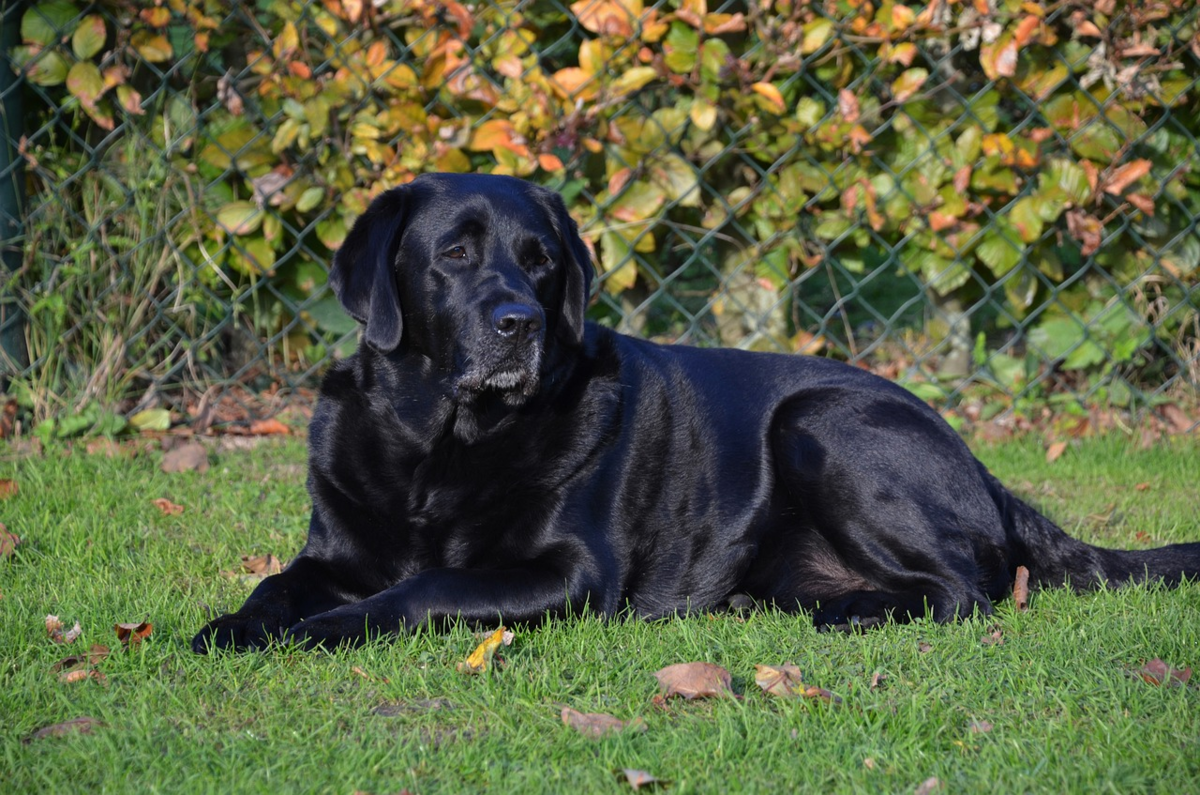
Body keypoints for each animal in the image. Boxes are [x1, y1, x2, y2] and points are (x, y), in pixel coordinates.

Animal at [192, 174, 1195, 653]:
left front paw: (321, 632)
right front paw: (235, 626)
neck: (436, 447)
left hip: (819, 421)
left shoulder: (567, 573)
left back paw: (856, 615)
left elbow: (422, 589)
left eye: (541, 260)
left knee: (965, 589)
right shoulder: (329, 553)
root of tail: (977, 457)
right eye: (455, 253)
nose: (518, 322)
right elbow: (274, 584)